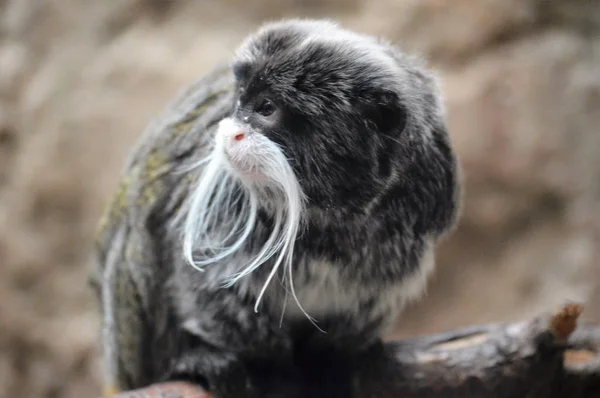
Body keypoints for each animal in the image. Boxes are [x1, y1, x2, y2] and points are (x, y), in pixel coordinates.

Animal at [91, 18, 462, 398]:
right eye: (241, 100)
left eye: (267, 108)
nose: (233, 133)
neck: (333, 213)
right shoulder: (224, 206)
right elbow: (208, 285)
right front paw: (267, 364)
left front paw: (332, 360)